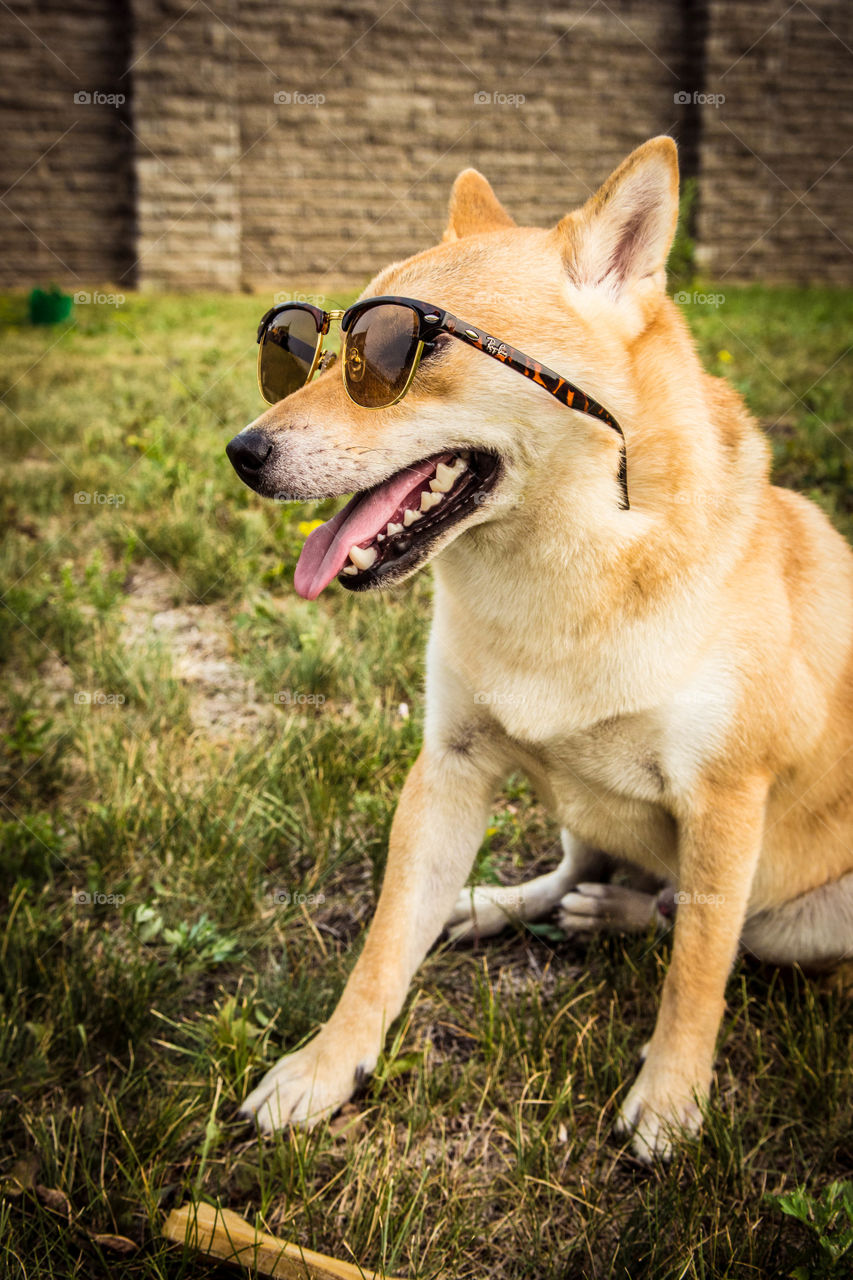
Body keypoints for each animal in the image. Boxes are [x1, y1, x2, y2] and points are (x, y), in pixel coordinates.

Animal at [225, 140, 850, 1162]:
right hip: (573, 815)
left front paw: (670, 1102)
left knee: (693, 922)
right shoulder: (449, 767)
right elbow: (383, 944)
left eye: (398, 350)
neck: (563, 574)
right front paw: (326, 1068)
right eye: (300, 345)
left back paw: (623, 914)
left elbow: (696, 974)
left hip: (804, 919)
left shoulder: (725, 802)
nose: (242, 451)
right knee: (582, 871)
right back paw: (510, 904)